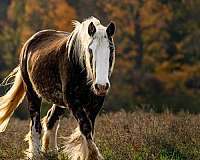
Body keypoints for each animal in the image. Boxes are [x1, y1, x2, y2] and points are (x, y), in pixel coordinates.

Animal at [0, 16, 115, 159]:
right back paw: (36, 154)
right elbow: (85, 127)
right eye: (90, 49)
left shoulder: (95, 102)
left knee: (51, 120)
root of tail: (30, 42)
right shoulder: (73, 101)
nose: (101, 86)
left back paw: (51, 152)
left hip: (60, 101)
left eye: (111, 49)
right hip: (33, 93)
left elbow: (89, 128)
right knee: (35, 124)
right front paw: (93, 155)